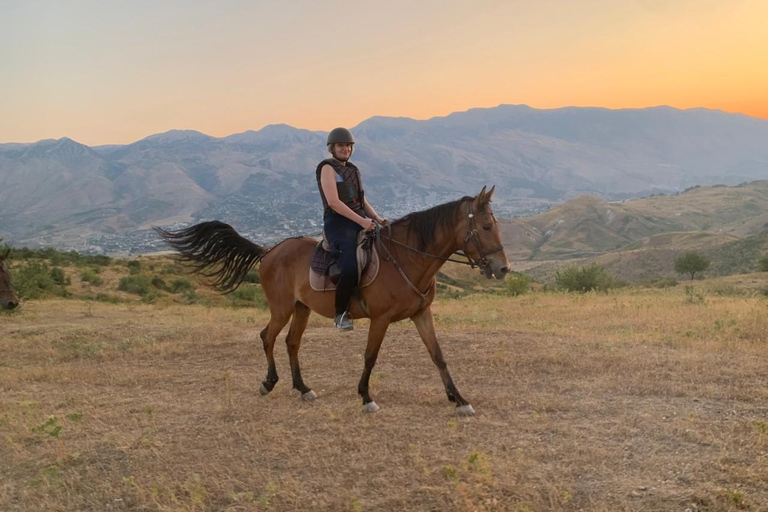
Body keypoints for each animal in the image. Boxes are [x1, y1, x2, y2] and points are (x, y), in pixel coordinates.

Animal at [156, 186, 510, 415]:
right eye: (486, 226)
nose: (502, 268)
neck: (407, 258)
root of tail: (269, 251)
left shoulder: (422, 313)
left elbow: (438, 356)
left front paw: (459, 399)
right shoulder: (380, 319)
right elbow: (370, 357)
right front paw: (366, 397)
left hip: (301, 309)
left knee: (292, 343)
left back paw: (303, 388)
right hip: (282, 308)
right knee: (268, 337)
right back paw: (269, 383)